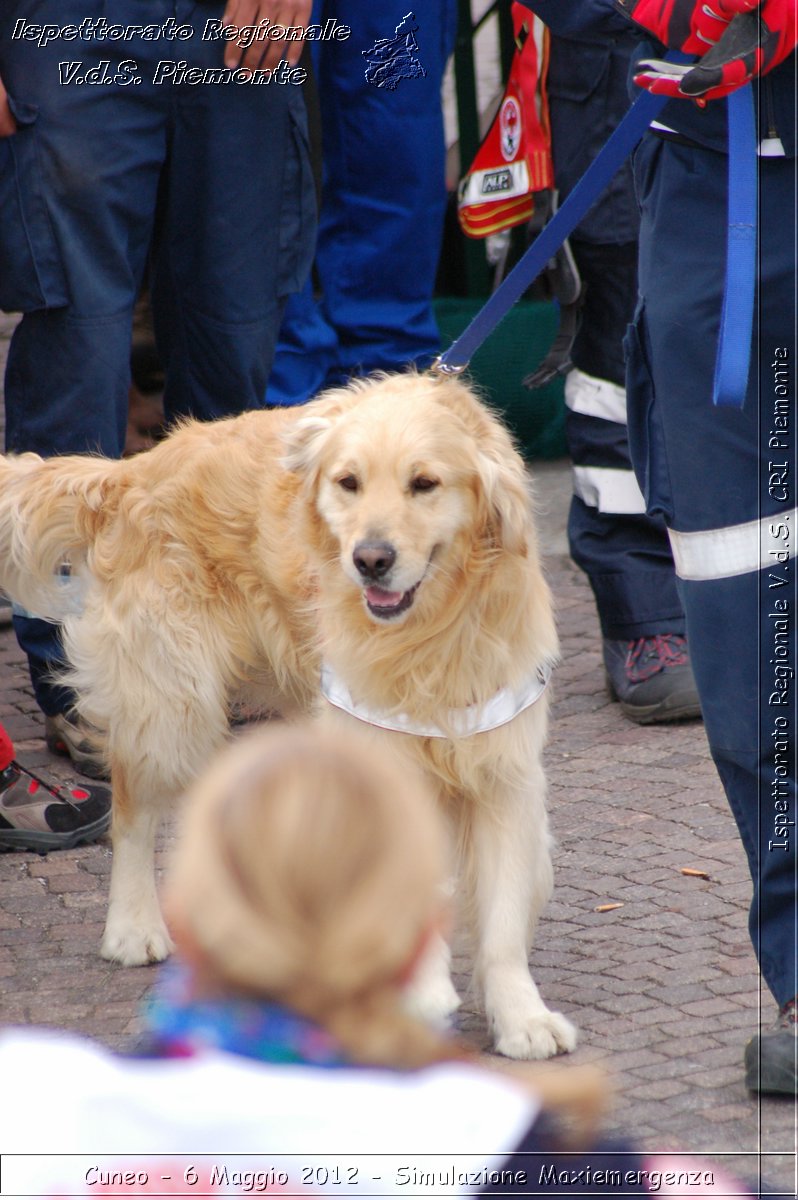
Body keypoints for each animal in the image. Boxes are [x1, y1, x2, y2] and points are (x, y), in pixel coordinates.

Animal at [0, 374, 573, 1060]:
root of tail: (133, 469)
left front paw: (520, 1016)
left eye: (425, 483)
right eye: (348, 482)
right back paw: (134, 928)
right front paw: (416, 1001)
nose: (370, 559)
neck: (431, 635)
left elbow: (505, 917)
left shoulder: (506, 774)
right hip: (173, 700)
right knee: (133, 814)